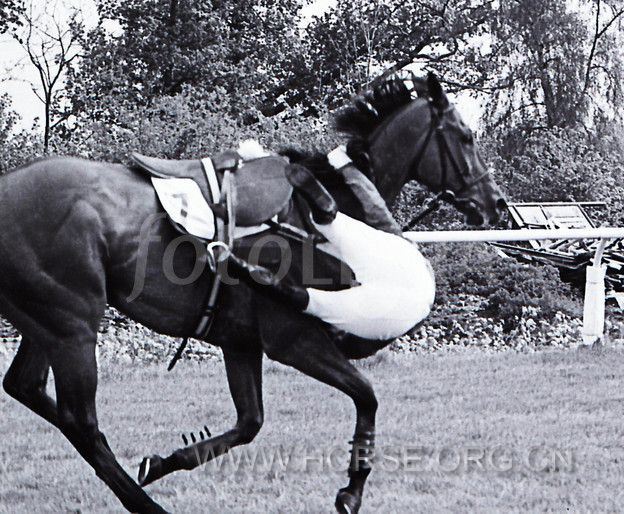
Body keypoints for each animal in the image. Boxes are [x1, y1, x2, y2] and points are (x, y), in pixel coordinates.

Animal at [0, 74, 504, 510]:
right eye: (465, 136)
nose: (496, 203)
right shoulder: (292, 340)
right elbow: (367, 397)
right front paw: (352, 489)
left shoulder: (240, 342)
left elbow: (249, 423)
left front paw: (166, 461)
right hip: (74, 325)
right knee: (81, 422)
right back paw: (146, 505)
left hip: (48, 323)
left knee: (27, 387)